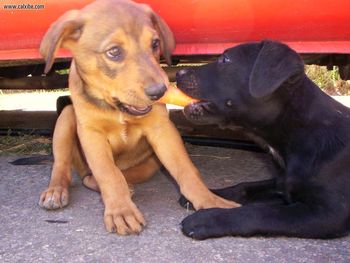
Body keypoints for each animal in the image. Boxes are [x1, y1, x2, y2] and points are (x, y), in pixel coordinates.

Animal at [38, 0, 238, 236]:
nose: (160, 92)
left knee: (104, 177)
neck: (117, 108)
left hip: (149, 164)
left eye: (155, 43)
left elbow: (187, 170)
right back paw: (55, 191)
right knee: (66, 167)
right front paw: (121, 211)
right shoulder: (91, 134)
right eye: (114, 52)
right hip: (67, 119)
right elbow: (109, 174)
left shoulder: (162, 129)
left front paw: (210, 202)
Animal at [178, 40, 350, 240]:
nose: (179, 73)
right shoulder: (280, 183)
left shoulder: (328, 213)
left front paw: (207, 219)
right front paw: (209, 194)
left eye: (225, 59)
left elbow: (260, 211)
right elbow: (243, 187)